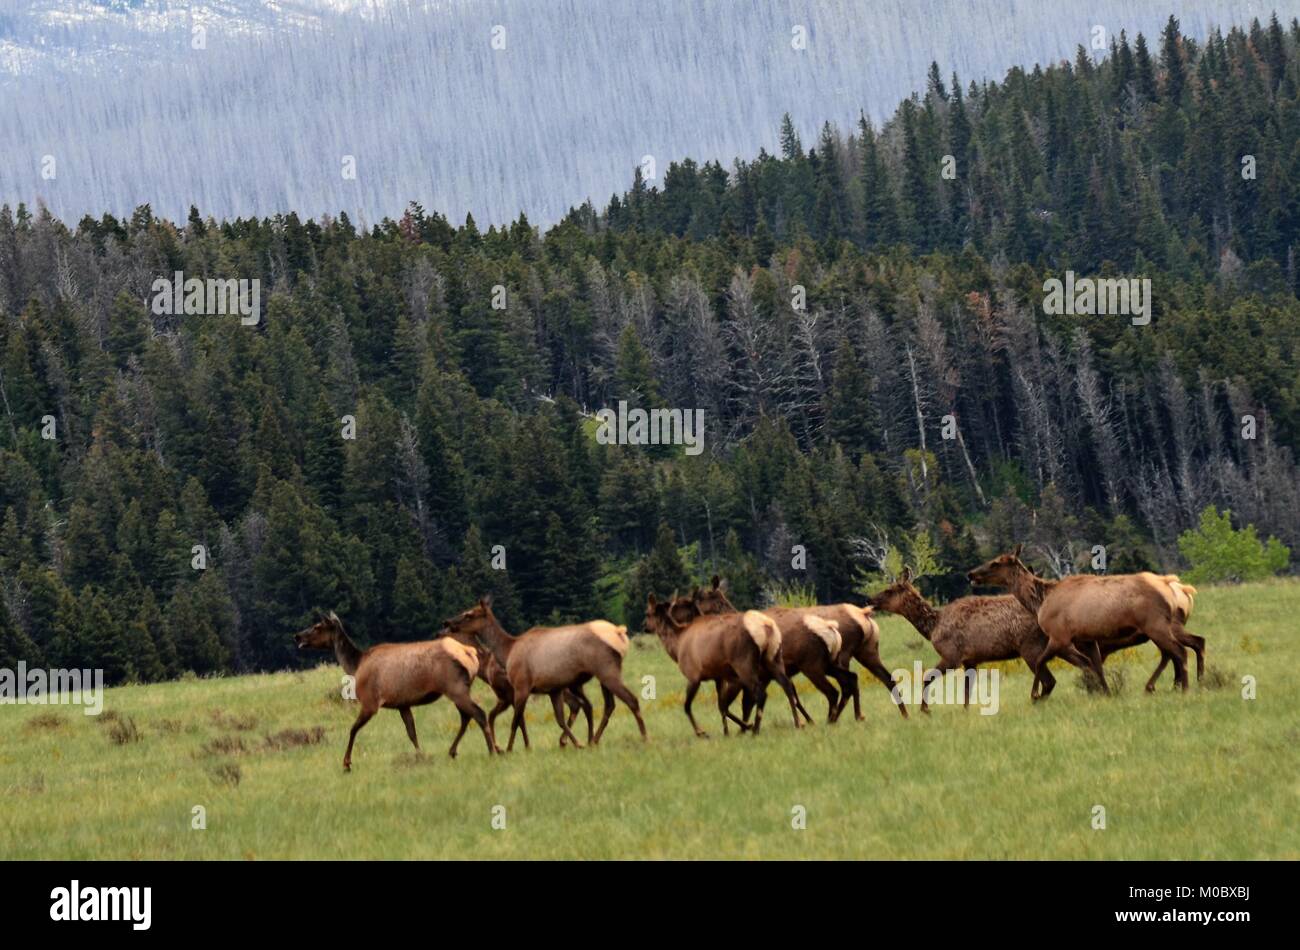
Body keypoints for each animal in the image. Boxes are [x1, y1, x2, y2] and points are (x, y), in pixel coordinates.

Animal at [293, 608, 491, 774]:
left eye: (317, 626)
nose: (297, 636)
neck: (356, 666)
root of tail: (470, 653)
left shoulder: (370, 702)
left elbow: (353, 729)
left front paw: (347, 763)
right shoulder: (403, 704)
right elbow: (412, 733)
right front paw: (421, 756)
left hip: (455, 687)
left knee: (479, 714)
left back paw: (492, 750)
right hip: (459, 689)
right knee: (466, 717)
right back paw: (453, 751)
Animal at [441, 597, 644, 753]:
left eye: (469, 614)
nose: (447, 622)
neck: (507, 651)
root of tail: (619, 632)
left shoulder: (521, 686)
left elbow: (516, 721)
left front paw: (509, 748)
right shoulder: (553, 689)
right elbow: (559, 719)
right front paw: (576, 743)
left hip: (606, 670)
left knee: (631, 700)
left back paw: (644, 737)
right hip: (597, 677)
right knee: (606, 705)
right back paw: (592, 740)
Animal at [644, 590, 806, 738]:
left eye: (647, 613)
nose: (644, 626)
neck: (677, 647)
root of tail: (767, 628)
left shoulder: (694, 675)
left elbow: (687, 706)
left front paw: (702, 732)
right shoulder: (718, 676)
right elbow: (721, 706)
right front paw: (728, 732)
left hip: (743, 663)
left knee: (761, 694)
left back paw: (756, 730)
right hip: (774, 658)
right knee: (787, 686)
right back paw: (797, 723)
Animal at [967, 545, 1196, 696]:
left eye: (996, 562)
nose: (970, 574)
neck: (1040, 601)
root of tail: (1171, 586)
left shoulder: (1059, 636)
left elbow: (1043, 661)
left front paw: (1035, 695)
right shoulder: (1088, 639)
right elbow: (1096, 667)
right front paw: (1106, 693)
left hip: (1155, 625)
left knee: (1180, 651)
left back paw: (1185, 689)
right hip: (1157, 628)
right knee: (1176, 651)